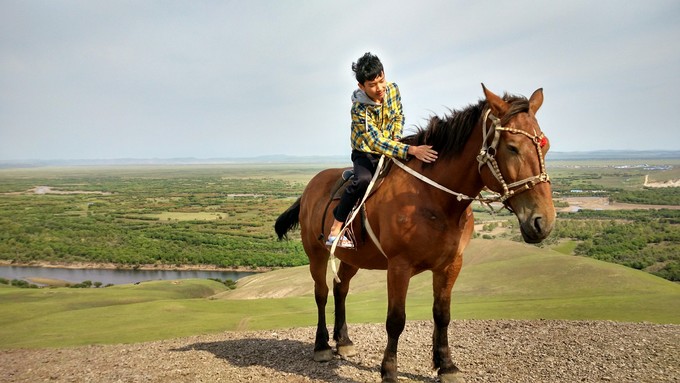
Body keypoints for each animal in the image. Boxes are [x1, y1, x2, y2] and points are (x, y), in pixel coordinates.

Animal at [274, 86, 556, 383]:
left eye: (545, 145)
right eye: (512, 147)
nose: (543, 221)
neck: (434, 199)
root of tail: (310, 187)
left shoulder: (450, 265)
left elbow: (442, 315)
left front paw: (447, 366)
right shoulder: (399, 266)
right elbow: (396, 320)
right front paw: (389, 370)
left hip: (353, 257)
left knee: (341, 289)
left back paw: (344, 342)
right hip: (316, 254)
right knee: (322, 292)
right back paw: (322, 346)